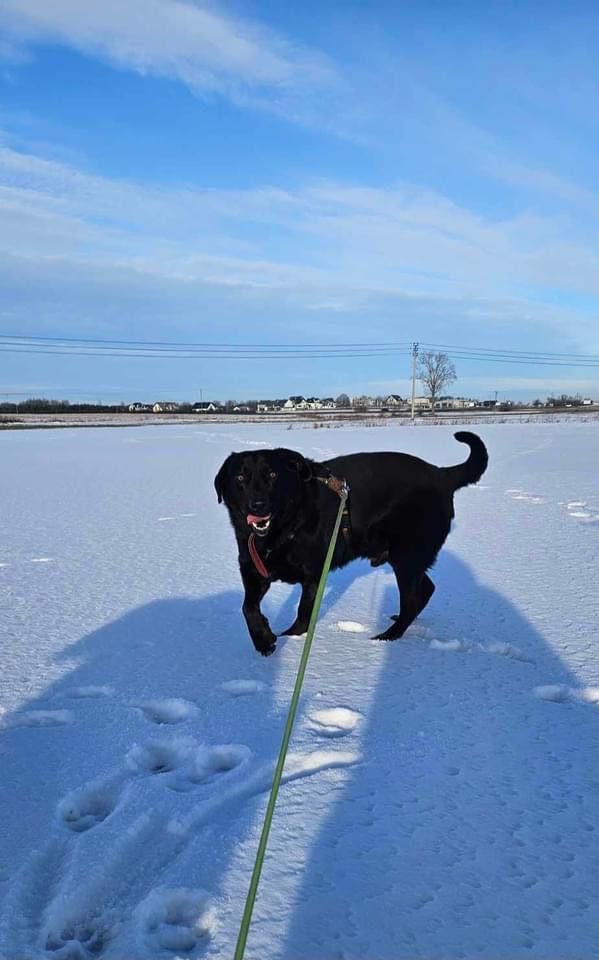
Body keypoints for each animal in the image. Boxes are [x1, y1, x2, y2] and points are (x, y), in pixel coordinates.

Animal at [214, 432, 488, 656]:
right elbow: (248, 607)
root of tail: (442, 474)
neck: (282, 531)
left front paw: (289, 639)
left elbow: (303, 612)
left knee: (412, 599)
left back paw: (386, 637)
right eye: (240, 477)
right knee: (425, 590)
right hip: (405, 558)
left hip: (407, 556)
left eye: (272, 475)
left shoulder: (314, 575)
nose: (258, 505)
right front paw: (264, 639)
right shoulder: (253, 570)